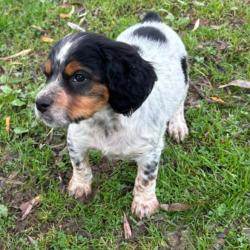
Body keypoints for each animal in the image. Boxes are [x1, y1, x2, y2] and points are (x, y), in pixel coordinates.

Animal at [34, 12, 188, 219]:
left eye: (79, 77)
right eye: (47, 74)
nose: (39, 104)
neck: (105, 120)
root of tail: (152, 21)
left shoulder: (150, 151)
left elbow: (146, 179)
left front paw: (144, 203)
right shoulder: (76, 138)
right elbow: (79, 164)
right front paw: (80, 186)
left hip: (183, 81)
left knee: (179, 104)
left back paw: (178, 125)